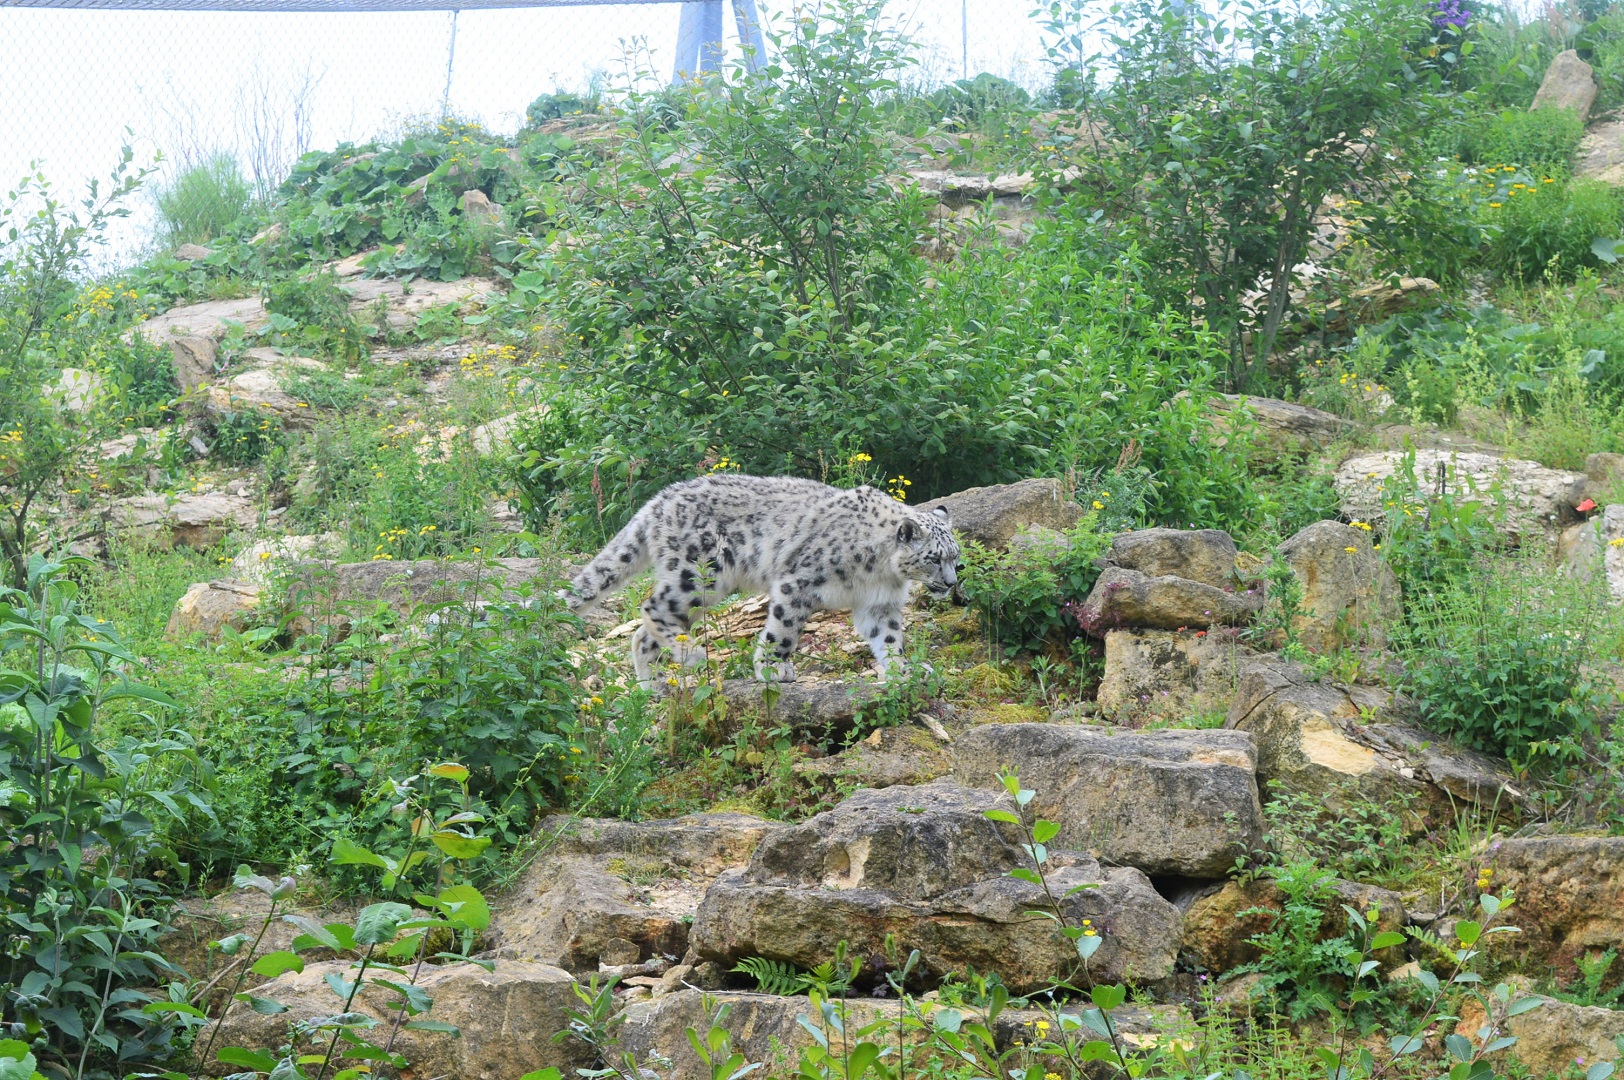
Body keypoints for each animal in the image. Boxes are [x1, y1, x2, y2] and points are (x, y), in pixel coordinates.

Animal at [564, 474, 959, 689]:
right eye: (934, 558)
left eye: (955, 557)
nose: (952, 583)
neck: (880, 572)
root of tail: (657, 502)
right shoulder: (797, 582)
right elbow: (784, 628)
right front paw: (774, 667)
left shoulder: (879, 603)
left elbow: (889, 638)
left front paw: (905, 670)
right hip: (702, 571)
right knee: (652, 606)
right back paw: (692, 655)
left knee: (642, 634)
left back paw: (652, 684)